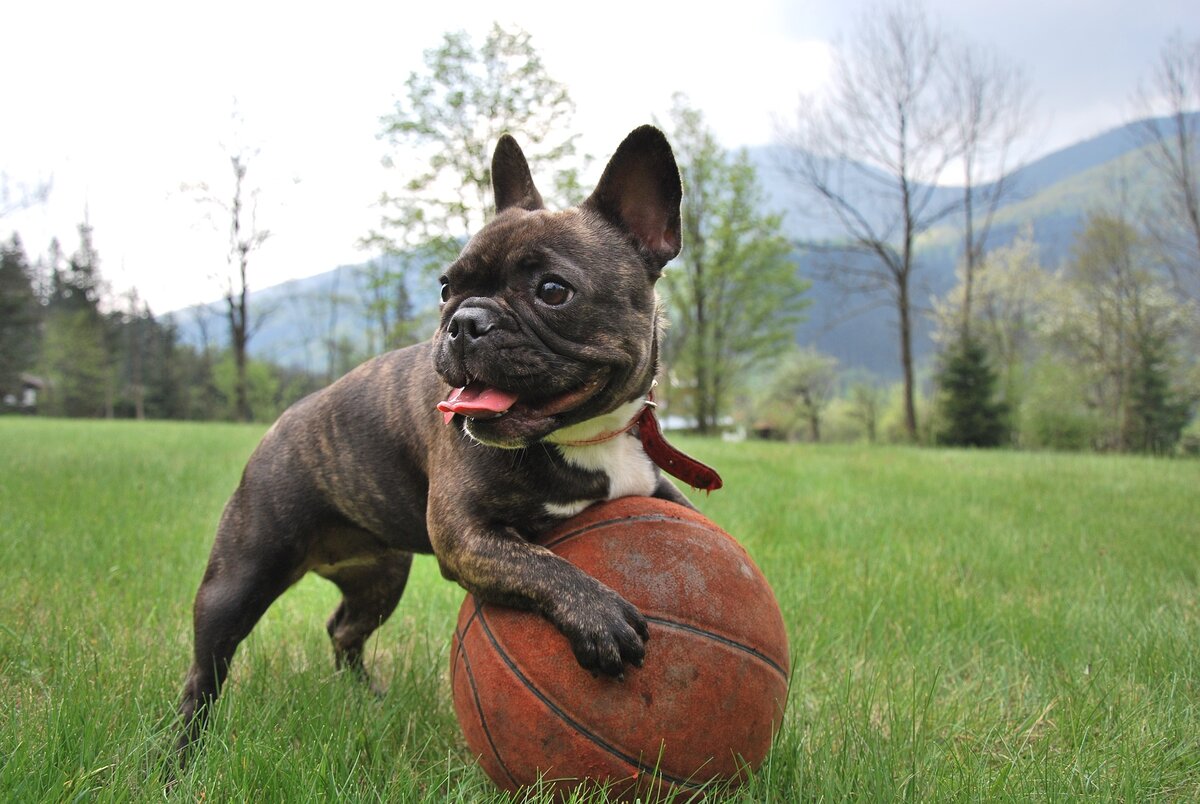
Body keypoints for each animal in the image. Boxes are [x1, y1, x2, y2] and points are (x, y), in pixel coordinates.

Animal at [174, 124, 715, 758]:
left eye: (553, 290)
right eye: (445, 287)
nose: (465, 321)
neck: (585, 437)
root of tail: (283, 424)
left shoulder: (652, 489)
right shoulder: (466, 535)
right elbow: (539, 563)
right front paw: (599, 615)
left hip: (381, 577)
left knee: (344, 630)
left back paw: (367, 698)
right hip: (240, 576)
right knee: (206, 670)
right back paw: (181, 753)